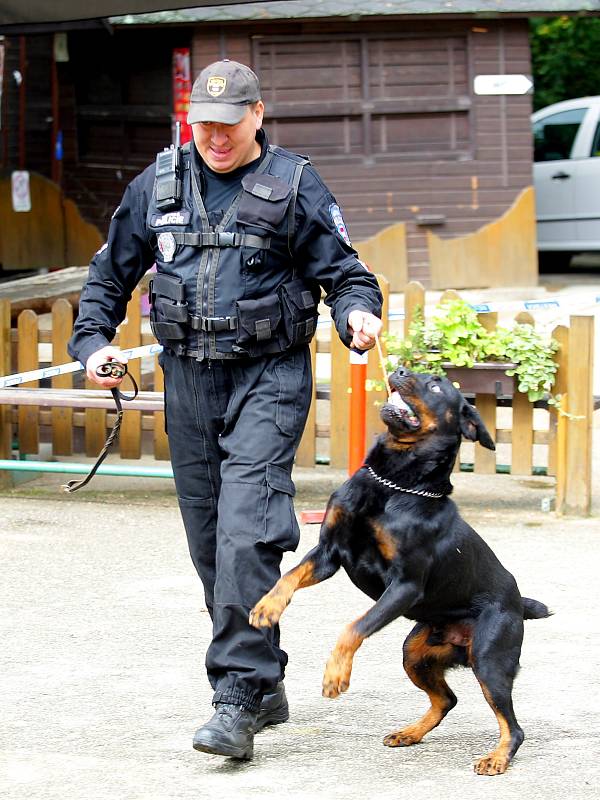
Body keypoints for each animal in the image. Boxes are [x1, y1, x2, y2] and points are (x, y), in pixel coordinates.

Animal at [251, 368, 552, 776]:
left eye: (437, 385)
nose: (400, 371)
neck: (395, 484)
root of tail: (518, 603)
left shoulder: (405, 585)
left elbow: (353, 627)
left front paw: (335, 675)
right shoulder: (329, 553)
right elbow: (289, 577)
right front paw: (266, 608)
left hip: (489, 659)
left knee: (513, 726)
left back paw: (496, 757)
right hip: (415, 652)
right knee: (447, 699)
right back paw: (410, 733)